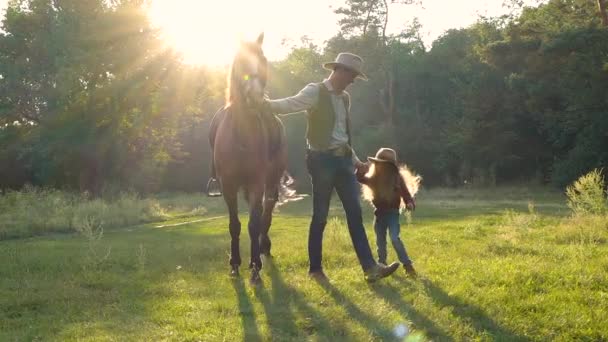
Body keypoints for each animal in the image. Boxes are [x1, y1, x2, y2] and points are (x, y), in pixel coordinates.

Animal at [211, 33, 288, 284]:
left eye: (263, 59)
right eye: (241, 62)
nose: (255, 98)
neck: (242, 134)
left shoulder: (257, 183)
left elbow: (254, 224)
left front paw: (255, 267)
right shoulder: (228, 185)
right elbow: (234, 225)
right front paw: (235, 263)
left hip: (271, 181)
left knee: (267, 212)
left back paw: (264, 246)